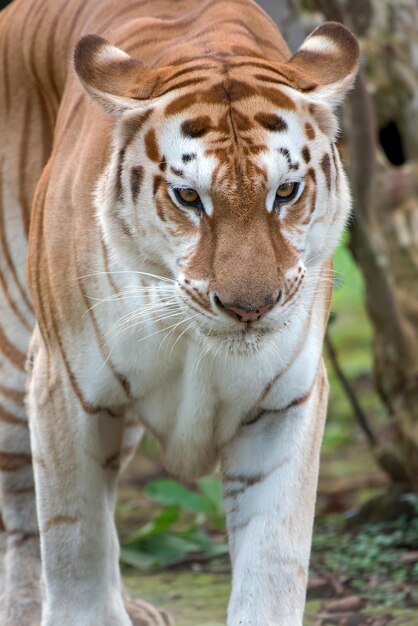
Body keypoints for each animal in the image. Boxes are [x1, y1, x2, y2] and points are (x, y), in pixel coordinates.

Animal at [0, 0, 360, 620]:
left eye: (286, 192)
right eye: (189, 197)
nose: (250, 307)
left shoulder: (286, 402)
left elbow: (273, 561)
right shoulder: (64, 387)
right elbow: (74, 543)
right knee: (26, 518)